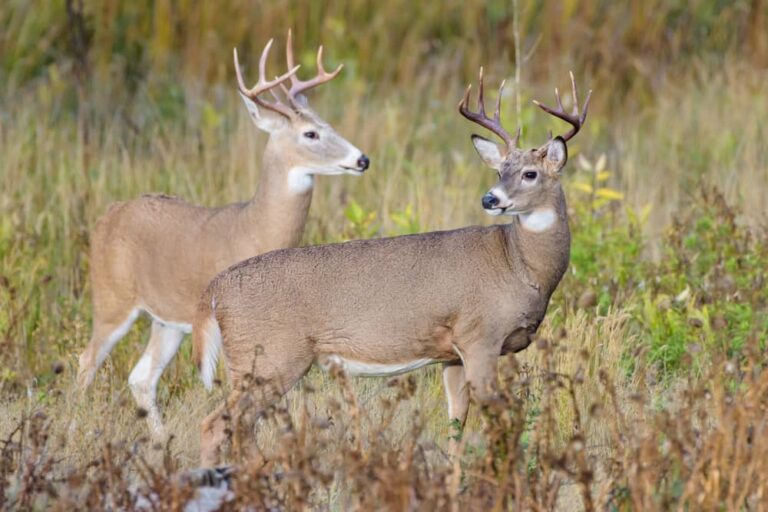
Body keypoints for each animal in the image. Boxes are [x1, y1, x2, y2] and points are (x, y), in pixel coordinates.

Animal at [75, 31, 368, 436]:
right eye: (310, 133)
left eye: (329, 123)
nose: (362, 159)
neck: (256, 229)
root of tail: (108, 215)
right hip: (112, 299)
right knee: (85, 363)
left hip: (167, 319)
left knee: (140, 377)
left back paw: (160, 441)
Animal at [192, 69, 588, 468]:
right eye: (500, 170)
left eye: (530, 173)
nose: (490, 198)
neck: (520, 265)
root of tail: (214, 291)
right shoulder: (481, 336)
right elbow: (498, 425)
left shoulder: (452, 353)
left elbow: (456, 426)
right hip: (268, 357)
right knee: (216, 425)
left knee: (239, 427)